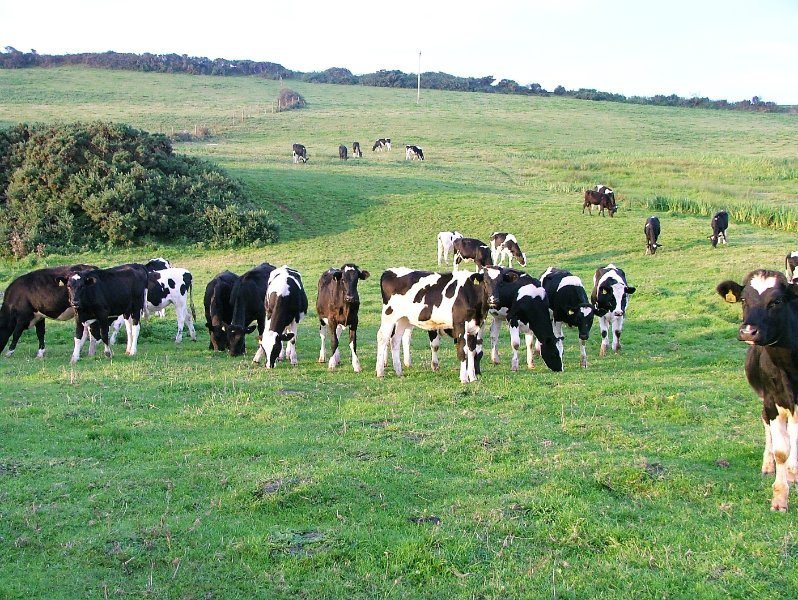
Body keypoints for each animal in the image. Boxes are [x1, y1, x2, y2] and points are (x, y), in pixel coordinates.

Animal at [720, 270, 798, 510]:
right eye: (744, 299)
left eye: (777, 301)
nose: (748, 332)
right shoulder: (772, 401)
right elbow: (781, 451)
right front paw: (780, 498)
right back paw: (770, 465)